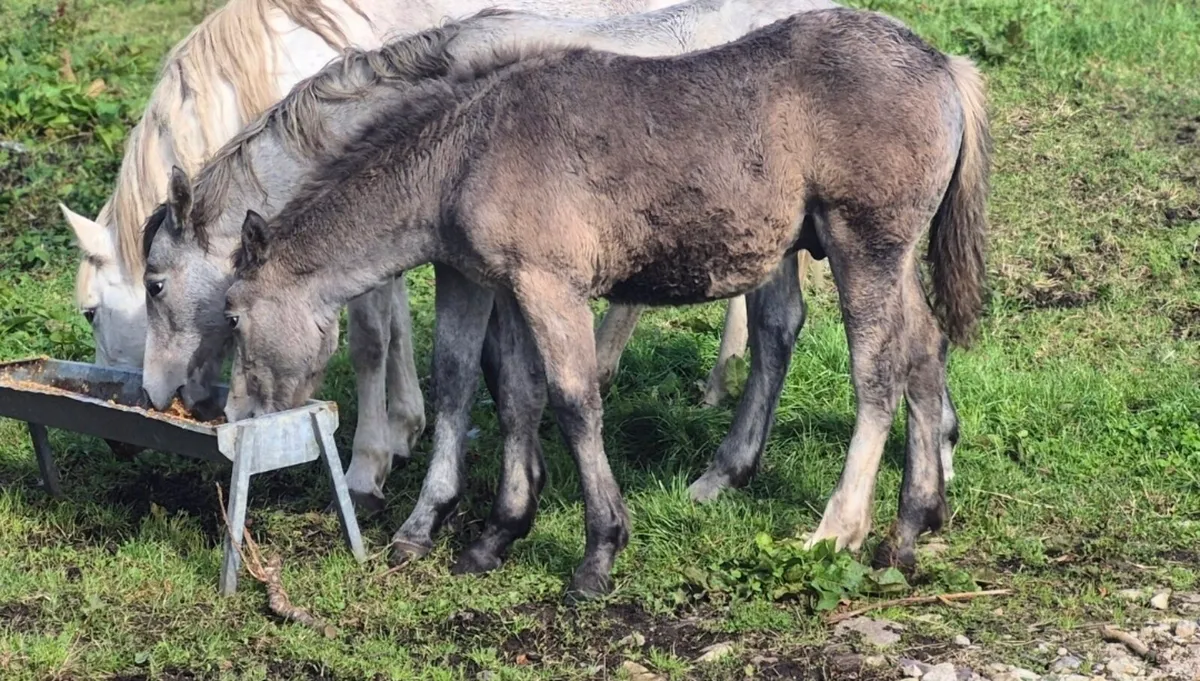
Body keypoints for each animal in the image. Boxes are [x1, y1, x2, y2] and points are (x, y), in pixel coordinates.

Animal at [219, 7, 991, 598]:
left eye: (231, 316)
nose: (236, 419)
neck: (466, 153)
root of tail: (942, 64)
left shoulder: (549, 287)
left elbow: (572, 402)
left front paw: (598, 553)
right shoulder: (487, 284)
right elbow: (486, 391)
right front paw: (471, 533)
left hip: (864, 249)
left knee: (878, 375)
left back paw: (838, 530)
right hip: (890, 261)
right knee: (924, 353)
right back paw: (913, 523)